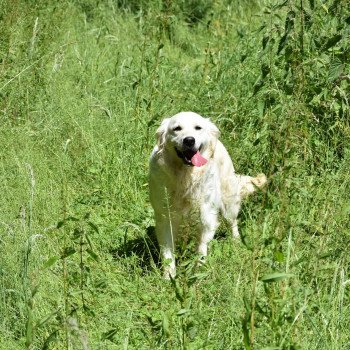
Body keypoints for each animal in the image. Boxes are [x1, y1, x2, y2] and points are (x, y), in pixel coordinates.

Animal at [149, 110, 266, 278]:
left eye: (198, 128)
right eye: (177, 128)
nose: (189, 140)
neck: (185, 177)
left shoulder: (207, 216)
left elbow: (202, 248)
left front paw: (198, 272)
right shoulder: (164, 218)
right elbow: (168, 253)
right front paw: (169, 277)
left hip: (228, 201)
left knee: (232, 222)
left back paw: (236, 241)